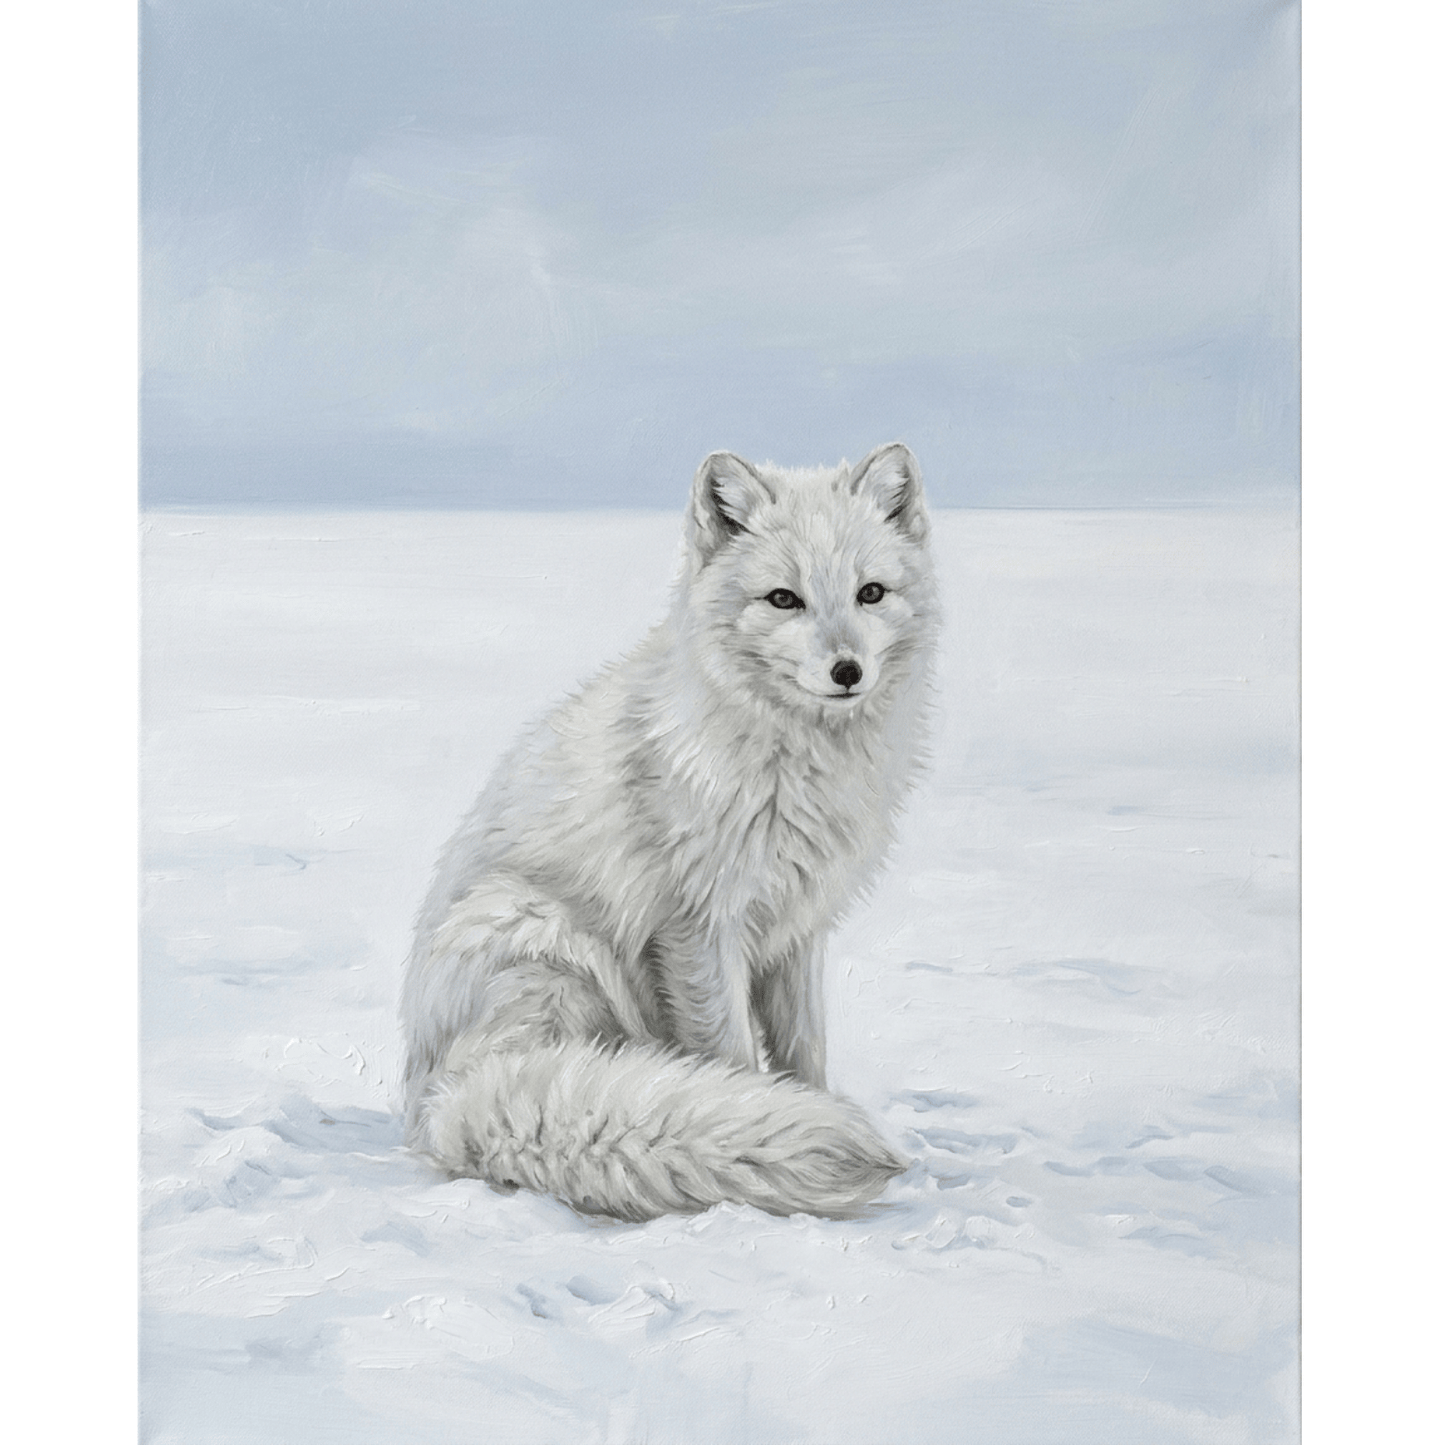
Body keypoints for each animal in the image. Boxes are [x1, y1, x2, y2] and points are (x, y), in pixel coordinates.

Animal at [400, 442, 938, 1220]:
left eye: (871, 593)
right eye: (784, 599)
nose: (847, 670)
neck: (793, 766)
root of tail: (429, 1101)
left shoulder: (796, 931)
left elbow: (804, 1054)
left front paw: (809, 1104)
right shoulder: (697, 929)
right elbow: (733, 1058)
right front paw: (755, 1122)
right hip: (545, 946)